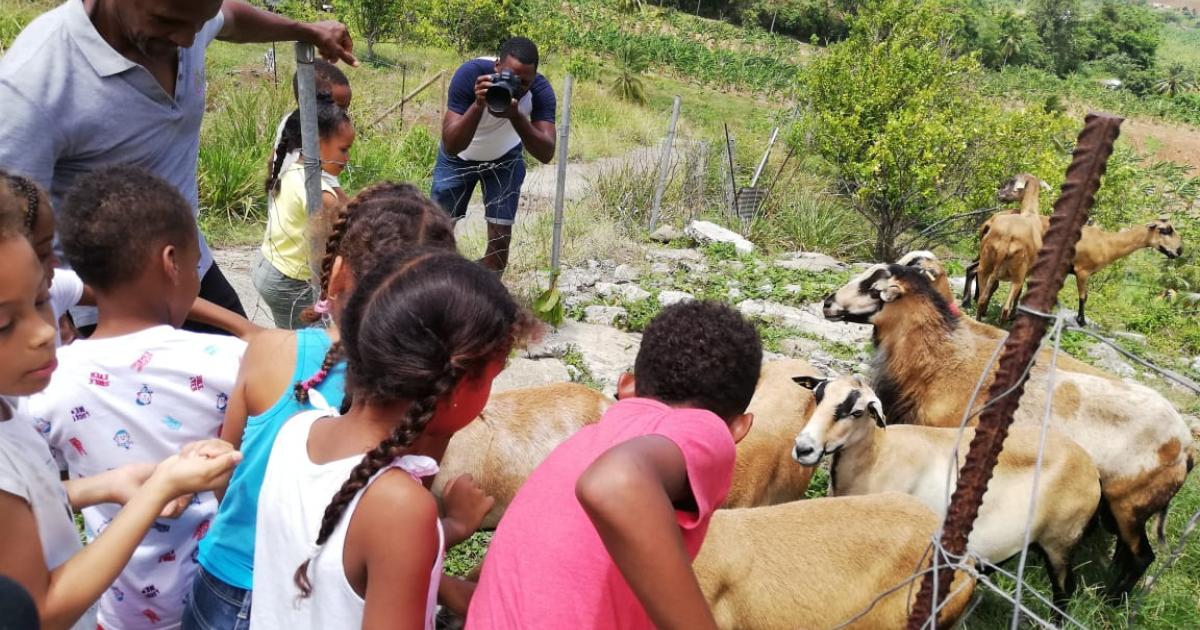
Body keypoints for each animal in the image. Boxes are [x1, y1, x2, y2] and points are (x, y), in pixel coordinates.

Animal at [825, 260, 1190, 595]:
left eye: (873, 288)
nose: (828, 303)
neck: (943, 363)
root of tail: (1187, 447)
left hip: (1130, 505)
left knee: (1141, 557)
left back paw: (1112, 600)